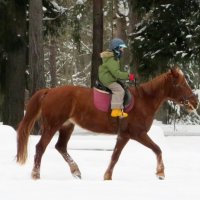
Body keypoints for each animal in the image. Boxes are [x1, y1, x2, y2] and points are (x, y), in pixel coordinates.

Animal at [16, 68, 198, 180]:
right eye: (180, 84)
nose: (195, 102)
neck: (144, 100)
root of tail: (49, 91)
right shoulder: (136, 134)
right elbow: (156, 149)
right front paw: (160, 173)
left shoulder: (124, 136)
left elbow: (115, 156)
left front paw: (107, 176)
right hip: (51, 126)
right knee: (41, 147)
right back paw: (36, 174)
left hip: (67, 126)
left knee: (60, 147)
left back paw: (76, 171)